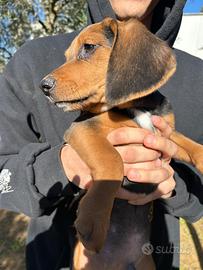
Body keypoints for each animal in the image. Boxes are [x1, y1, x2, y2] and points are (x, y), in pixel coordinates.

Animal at [39, 17, 203, 268]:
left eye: (88, 47)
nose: (43, 86)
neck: (135, 106)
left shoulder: (166, 133)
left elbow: (193, 146)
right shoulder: (82, 129)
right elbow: (112, 161)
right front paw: (93, 218)